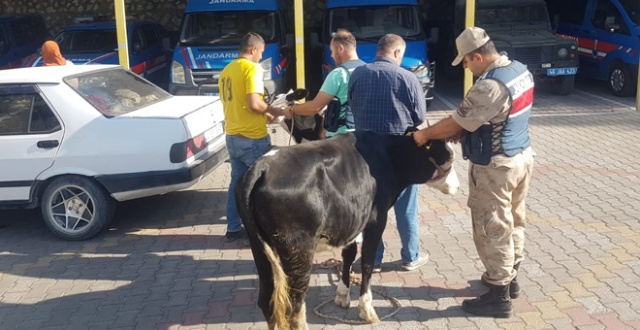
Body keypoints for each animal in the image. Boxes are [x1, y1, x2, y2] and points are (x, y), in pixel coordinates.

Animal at [235, 130, 460, 328]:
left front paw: (342, 296)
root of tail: (262, 167)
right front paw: (367, 310)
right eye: (449, 159)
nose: (458, 187)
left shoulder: (352, 221)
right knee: (293, 305)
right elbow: (367, 263)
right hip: (298, 248)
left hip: (260, 248)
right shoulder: (376, 220)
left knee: (267, 300)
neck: (388, 156)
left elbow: (348, 256)